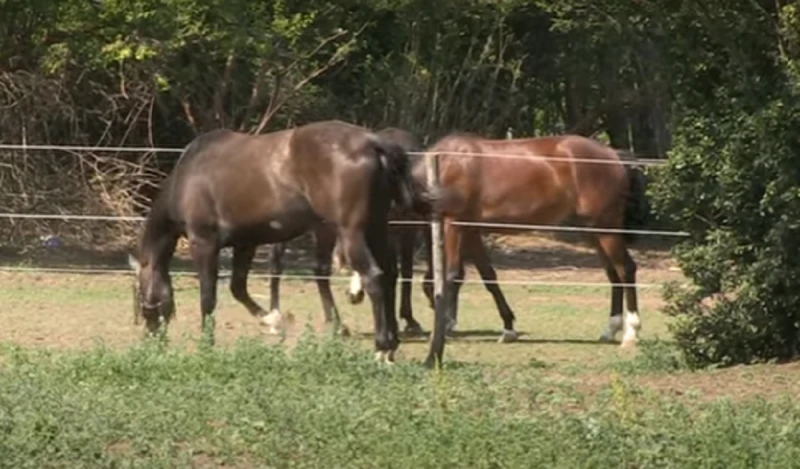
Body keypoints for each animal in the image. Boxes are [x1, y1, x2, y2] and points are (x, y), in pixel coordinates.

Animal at [126, 119, 438, 360]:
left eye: (141, 294)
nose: (152, 337)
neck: (189, 176)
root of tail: (374, 143)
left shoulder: (203, 243)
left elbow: (208, 298)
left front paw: (207, 343)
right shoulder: (245, 243)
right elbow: (238, 288)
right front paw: (275, 320)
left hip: (352, 232)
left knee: (373, 277)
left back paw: (381, 348)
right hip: (375, 229)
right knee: (389, 276)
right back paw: (391, 342)